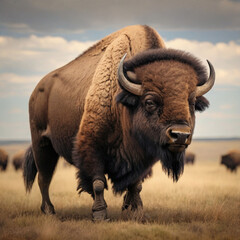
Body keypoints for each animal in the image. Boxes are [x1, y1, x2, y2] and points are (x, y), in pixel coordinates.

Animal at [23, 24, 216, 221]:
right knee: (44, 178)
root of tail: (37, 91)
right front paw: (100, 214)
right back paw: (49, 211)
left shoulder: (141, 159)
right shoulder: (93, 148)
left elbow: (135, 184)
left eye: (191, 102)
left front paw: (135, 210)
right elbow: (98, 183)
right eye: (150, 102)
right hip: (42, 144)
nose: (180, 135)